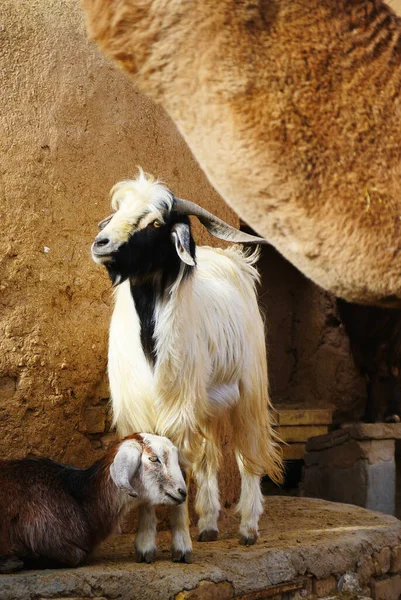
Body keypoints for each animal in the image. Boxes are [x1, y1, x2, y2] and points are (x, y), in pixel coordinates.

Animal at [92, 169, 282, 564]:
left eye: (154, 222)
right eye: (118, 210)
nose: (101, 243)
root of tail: (233, 263)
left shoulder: (178, 411)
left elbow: (178, 471)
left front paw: (180, 546)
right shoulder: (137, 412)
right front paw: (145, 547)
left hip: (248, 389)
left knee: (247, 454)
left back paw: (248, 528)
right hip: (205, 402)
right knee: (208, 458)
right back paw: (208, 525)